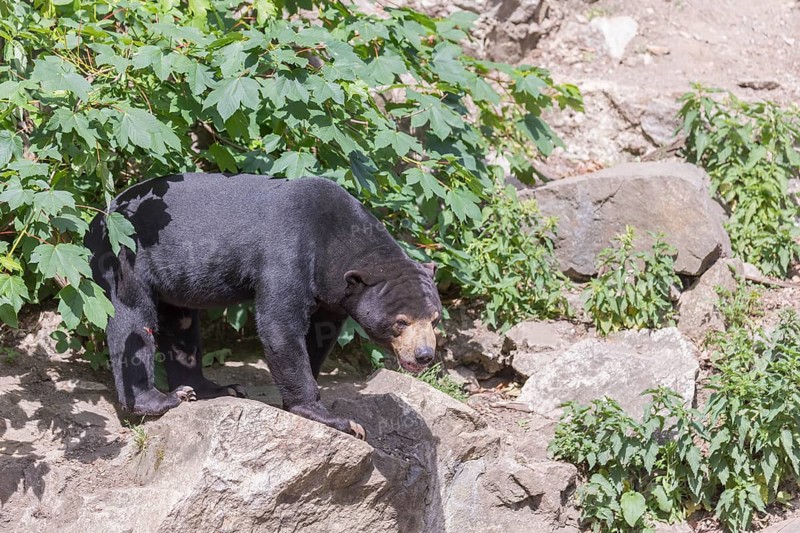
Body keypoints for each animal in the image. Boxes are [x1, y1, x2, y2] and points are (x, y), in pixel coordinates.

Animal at [85, 173, 442, 439]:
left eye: (435, 319)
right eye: (401, 322)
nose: (424, 355)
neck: (336, 241)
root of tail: (99, 218)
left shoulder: (332, 295)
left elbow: (320, 333)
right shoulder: (288, 254)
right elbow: (279, 325)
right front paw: (338, 419)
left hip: (173, 278)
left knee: (182, 325)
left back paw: (213, 388)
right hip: (124, 255)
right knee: (132, 322)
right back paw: (161, 399)